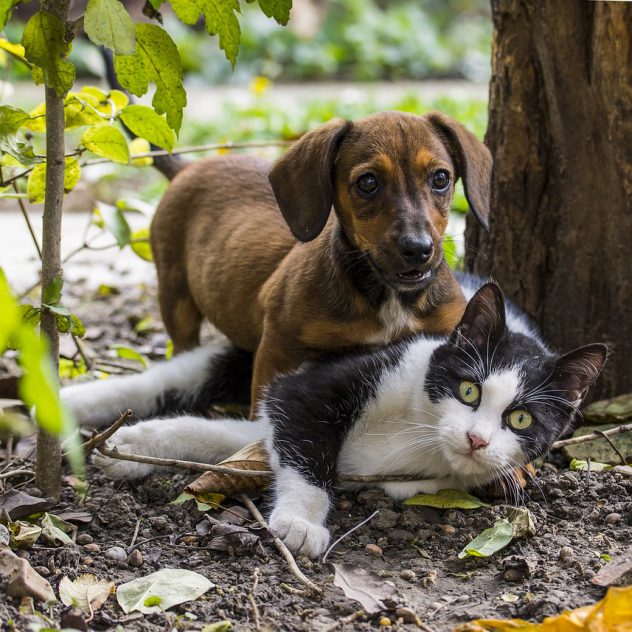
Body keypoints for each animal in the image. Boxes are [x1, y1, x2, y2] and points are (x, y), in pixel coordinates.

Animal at [63, 278, 608, 556]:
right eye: (468, 390)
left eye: (521, 421)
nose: (476, 439)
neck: (420, 431)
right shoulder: (319, 383)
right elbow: (305, 444)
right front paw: (301, 523)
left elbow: (236, 437)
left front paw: (137, 446)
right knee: (171, 377)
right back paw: (68, 405)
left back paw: (121, 443)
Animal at [149, 111, 494, 410]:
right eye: (368, 183)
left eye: (440, 178)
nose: (418, 249)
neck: (387, 297)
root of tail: (186, 168)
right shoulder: (278, 347)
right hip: (176, 297)